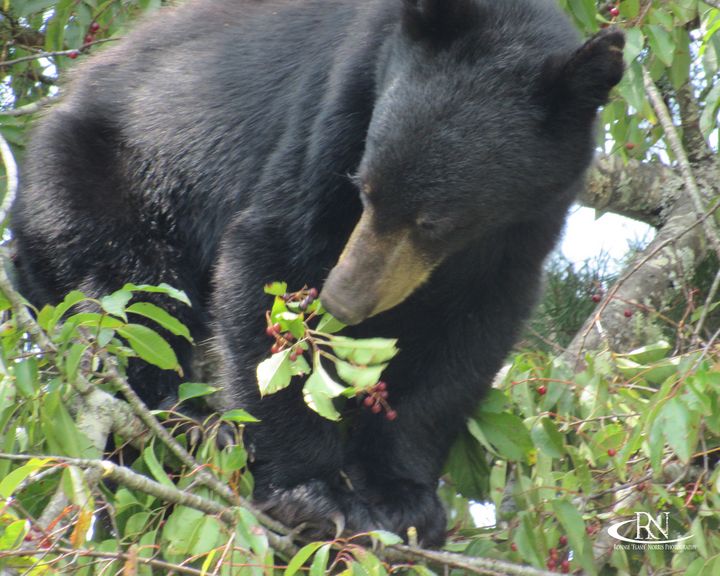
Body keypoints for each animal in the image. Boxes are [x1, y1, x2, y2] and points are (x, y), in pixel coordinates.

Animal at [12, 0, 624, 546]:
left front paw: (405, 497)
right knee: (136, 306)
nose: (344, 300)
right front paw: (312, 494)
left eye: (434, 221)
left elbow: (465, 340)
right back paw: (182, 425)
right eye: (365, 187)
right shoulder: (337, 103)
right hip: (101, 190)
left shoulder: (530, 225)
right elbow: (270, 255)